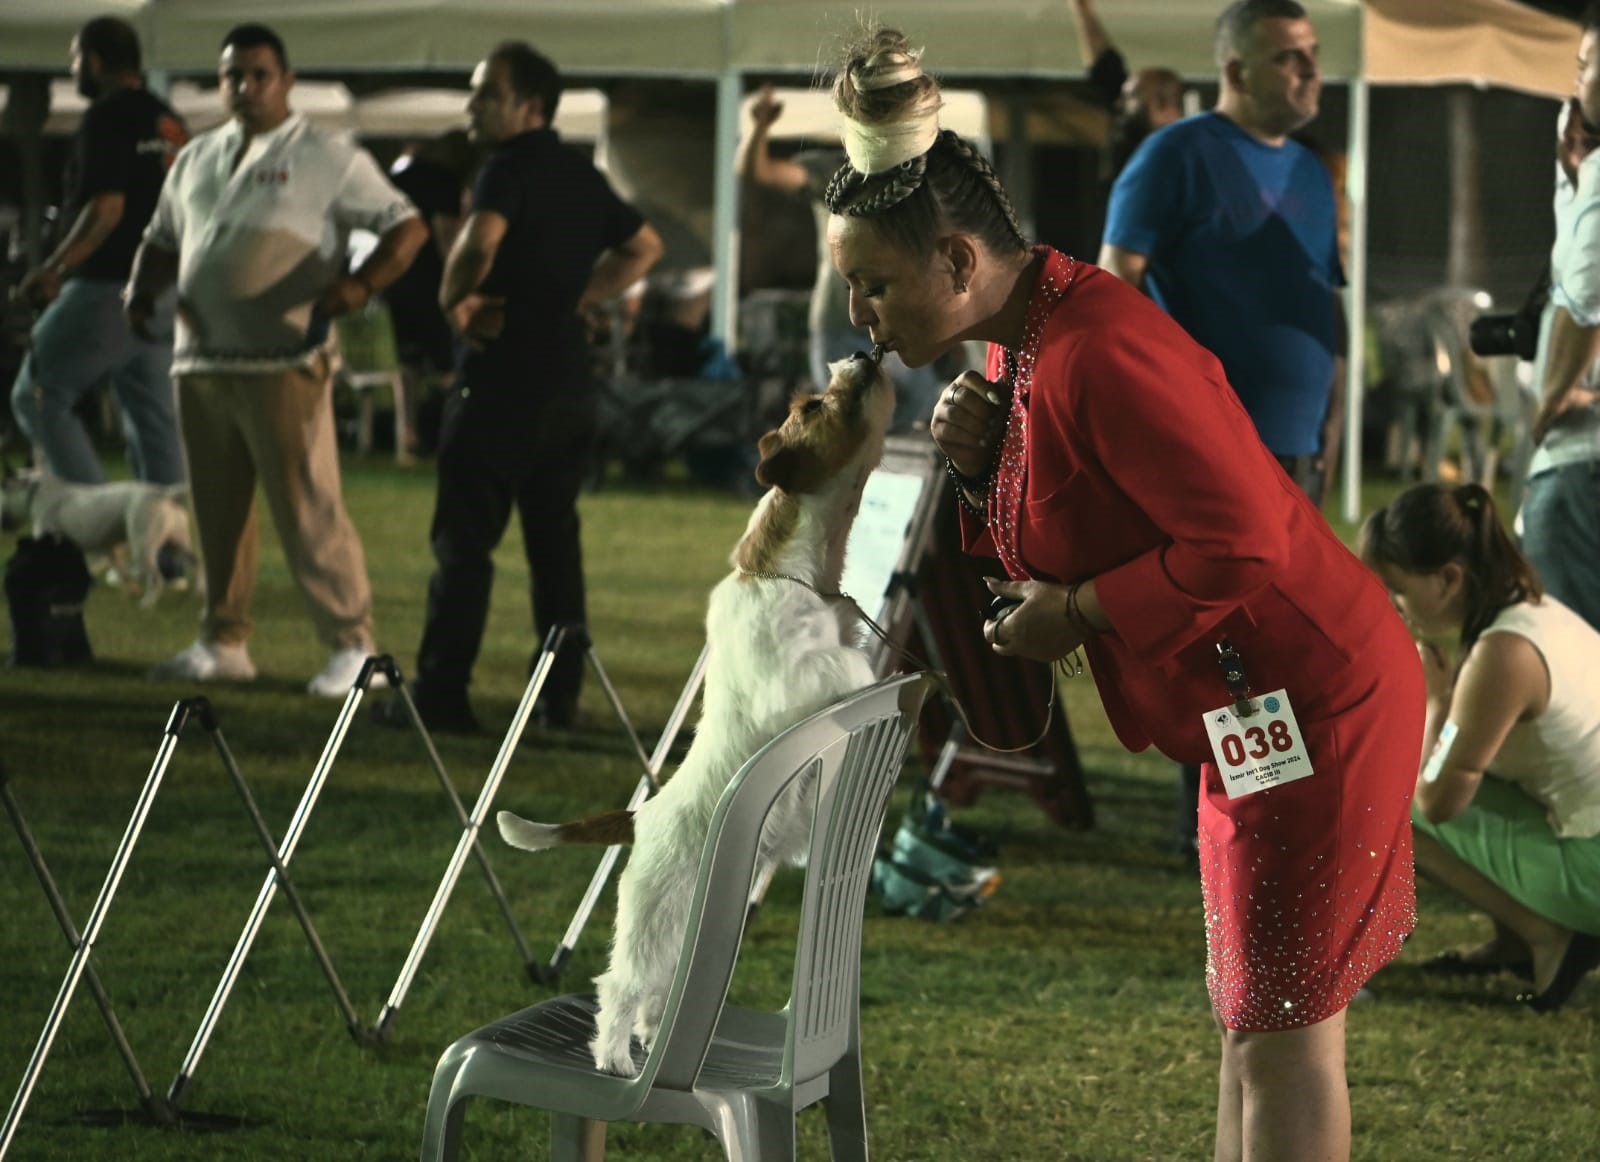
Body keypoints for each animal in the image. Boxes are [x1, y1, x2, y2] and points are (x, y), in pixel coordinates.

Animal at [1, 467, 200, 611]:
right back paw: (199, 593)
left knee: (156, 579)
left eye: (4, 490)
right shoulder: (108, 548)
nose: (3, 525)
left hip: (142, 546)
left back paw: (146, 605)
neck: (36, 488)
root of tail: (163, 492)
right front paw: (130, 589)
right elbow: (120, 569)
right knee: (197, 564)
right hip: (179, 541)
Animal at [496, 350, 896, 1075]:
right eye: (812, 405)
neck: (790, 569)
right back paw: (615, 1060)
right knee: (619, 988)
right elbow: (843, 668)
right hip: (657, 922)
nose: (862, 353)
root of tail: (640, 818)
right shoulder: (791, 676)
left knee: (652, 999)